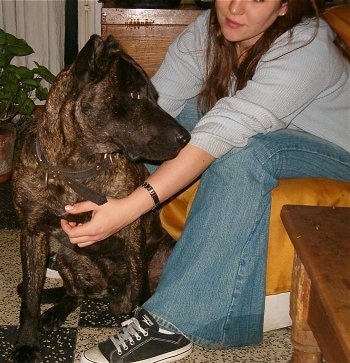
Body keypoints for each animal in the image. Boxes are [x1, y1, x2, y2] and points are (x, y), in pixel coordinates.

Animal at [10, 34, 190, 363]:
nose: (186, 138)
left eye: (153, 95)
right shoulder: (31, 233)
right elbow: (29, 296)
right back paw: (55, 310)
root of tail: (109, 288)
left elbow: (139, 287)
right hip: (67, 256)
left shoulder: (132, 230)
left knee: (133, 291)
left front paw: (135, 327)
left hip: (164, 254)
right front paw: (27, 342)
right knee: (76, 293)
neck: (74, 168)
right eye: (134, 94)